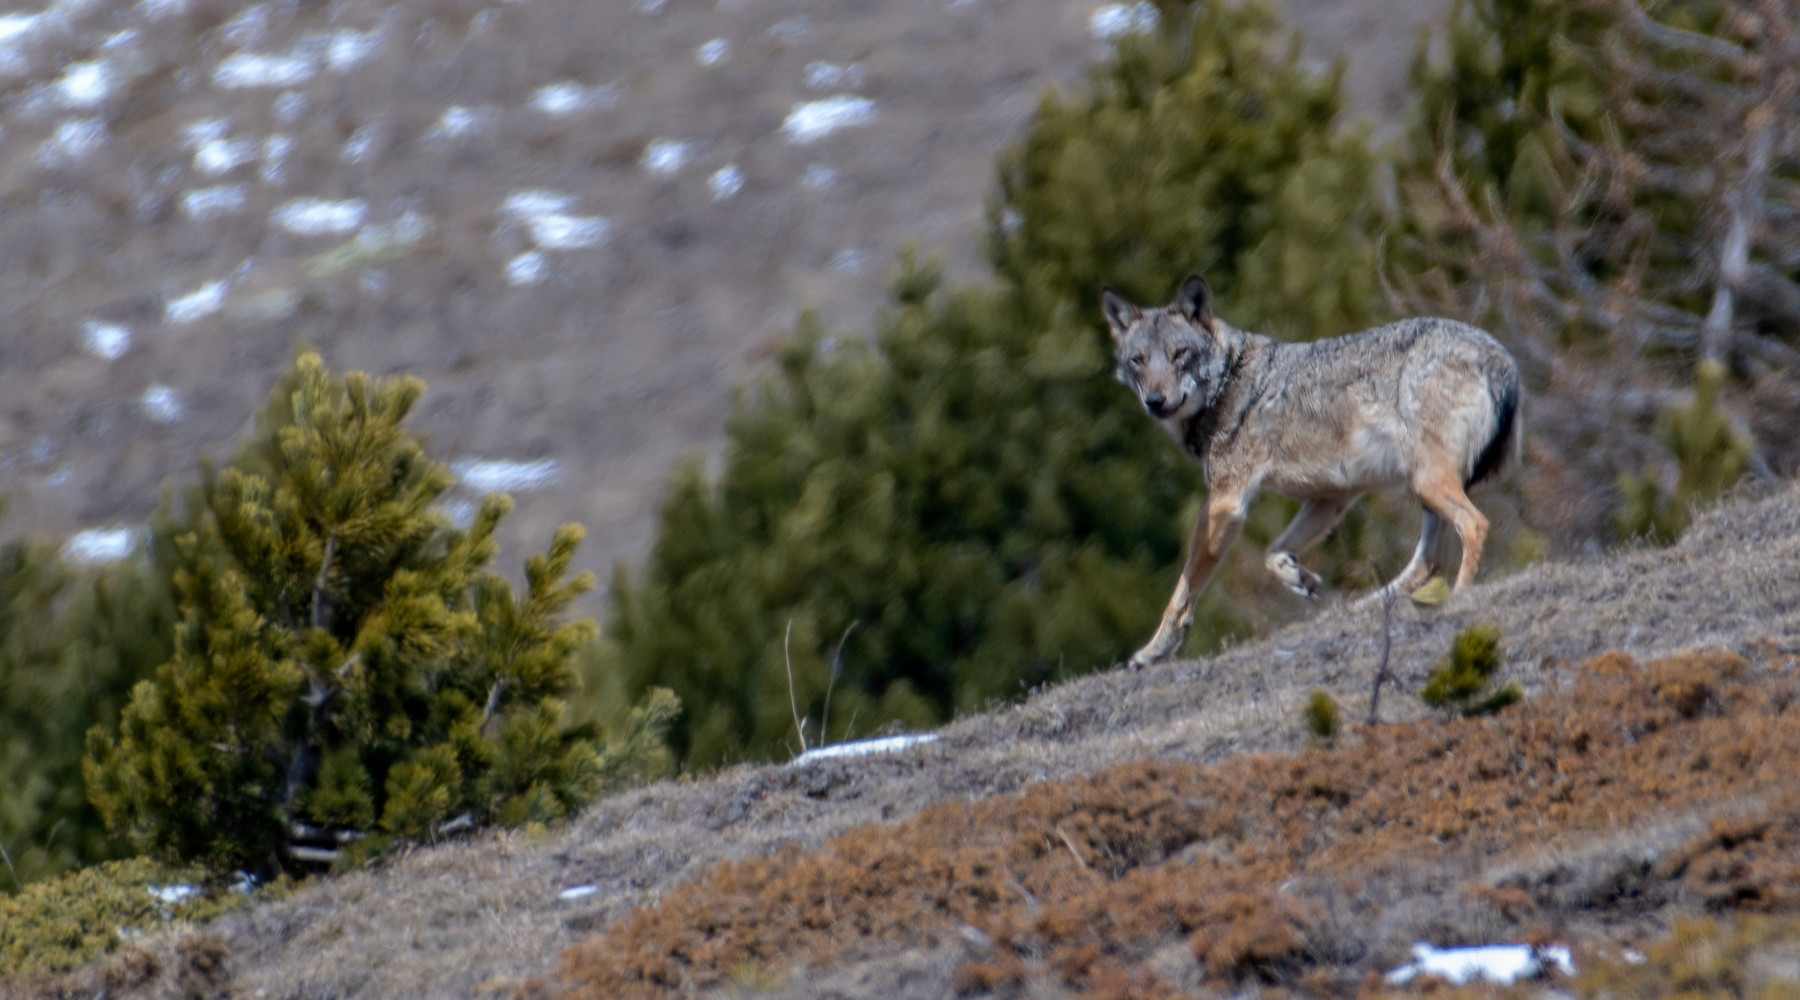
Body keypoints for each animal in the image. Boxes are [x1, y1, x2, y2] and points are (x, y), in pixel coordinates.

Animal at [1102, 274, 1522, 669]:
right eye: (1138, 360)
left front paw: (1153, 651)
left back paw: (1457, 597)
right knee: (1426, 562)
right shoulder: (1332, 496)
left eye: (1180, 354)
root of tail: (1502, 358)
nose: (1155, 401)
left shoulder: (1225, 502)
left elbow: (1183, 591)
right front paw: (1299, 578)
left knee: (1473, 525)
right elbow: (1272, 552)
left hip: (1427, 483)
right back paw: (1365, 607)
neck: (1227, 382)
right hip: (1424, 491)